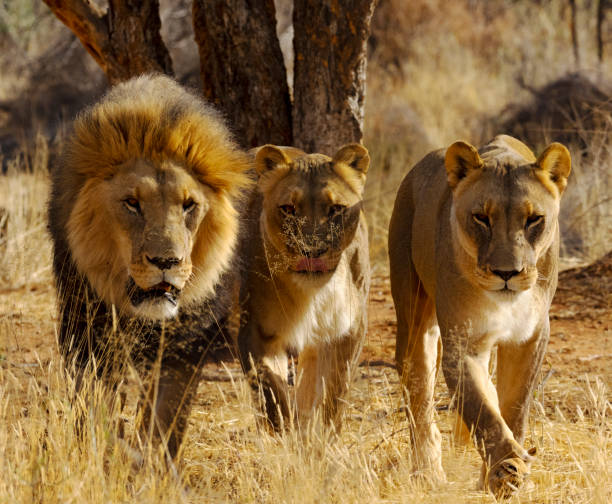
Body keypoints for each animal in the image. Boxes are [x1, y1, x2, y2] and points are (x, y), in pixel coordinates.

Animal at [47, 75, 253, 456]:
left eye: (189, 205)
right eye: (132, 203)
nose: (166, 261)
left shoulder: (180, 348)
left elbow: (164, 419)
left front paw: (151, 462)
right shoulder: (90, 336)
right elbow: (94, 407)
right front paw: (101, 454)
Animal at [238, 142, 372, 430]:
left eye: (335, 209)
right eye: (288, 209)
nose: (312, 251)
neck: (313, 293)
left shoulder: (350, 328)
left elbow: (335, 391)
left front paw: (322, 434)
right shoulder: (255, 329)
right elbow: (271, 393)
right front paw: (286, 434)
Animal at [390, 133, 572, 496]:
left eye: (533, 219)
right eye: (481, 218)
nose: (507, 273)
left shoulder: (530, 338)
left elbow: (512, 406)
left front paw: (502, 472)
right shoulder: (463, 343)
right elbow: (483, 411)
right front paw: (507, 468)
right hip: (414, 318)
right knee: (419, 392)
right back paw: (428, 471)